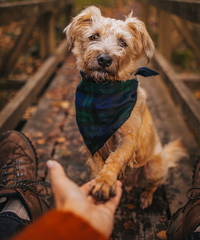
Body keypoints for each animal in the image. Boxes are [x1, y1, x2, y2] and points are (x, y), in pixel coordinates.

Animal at [64, 5, 188, 208]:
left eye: (123, 42)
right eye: (93, 37)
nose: (104, 59)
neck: (104, 91)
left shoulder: (128, 140)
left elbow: (114, 159)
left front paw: (105, 181)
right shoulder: (91, 145)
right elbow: (98, 166)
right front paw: (98, 185)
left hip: (154, 168)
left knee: (153, 185)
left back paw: (146, 197)